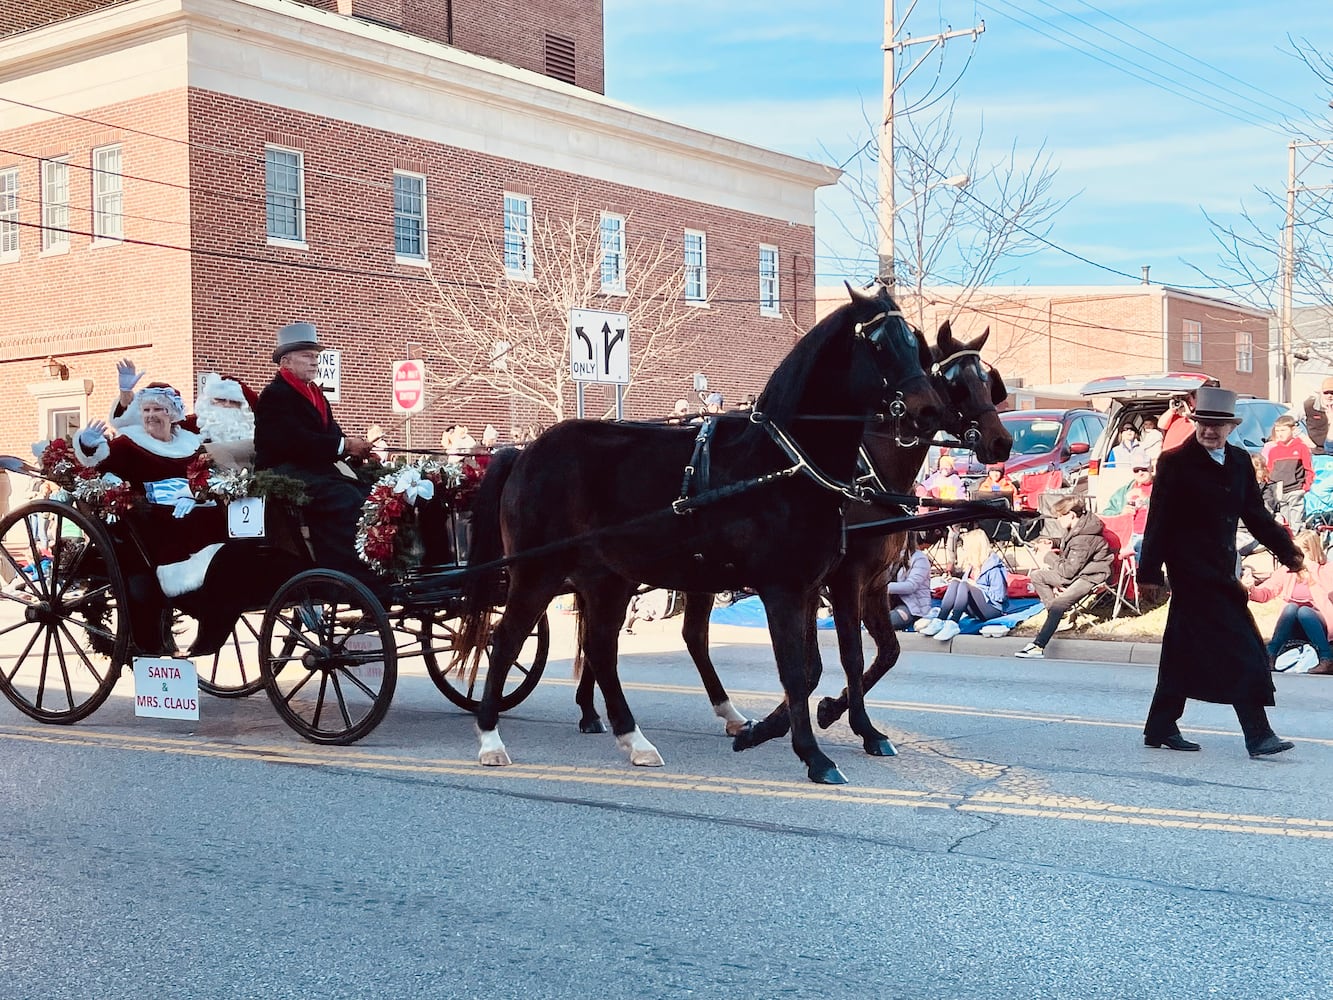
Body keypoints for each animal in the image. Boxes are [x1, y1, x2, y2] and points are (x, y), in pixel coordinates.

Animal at [453, 280, 943, 784]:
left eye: (916, 345)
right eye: (879, 344)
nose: (928, 409)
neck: (784, 463)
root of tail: (523, 452)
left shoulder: (813, 586)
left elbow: (817, 667)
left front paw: (771, 733)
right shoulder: (786, 588)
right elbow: (795, 671)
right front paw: (813, 754)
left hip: (607, 578)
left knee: (601, 649)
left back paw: (634, 739)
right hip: (537, 572)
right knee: (506, 640)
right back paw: (490, 738)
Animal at [570, 325, 1007, 757]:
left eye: (988, 382)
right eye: (956, 384)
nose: (1001, 441)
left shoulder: (868, 584)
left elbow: (883, 653)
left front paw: (810, 716)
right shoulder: (841, 580)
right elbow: (840, 657)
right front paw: (842, 723)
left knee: (661, 636)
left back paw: (602, 710)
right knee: (605, 635)